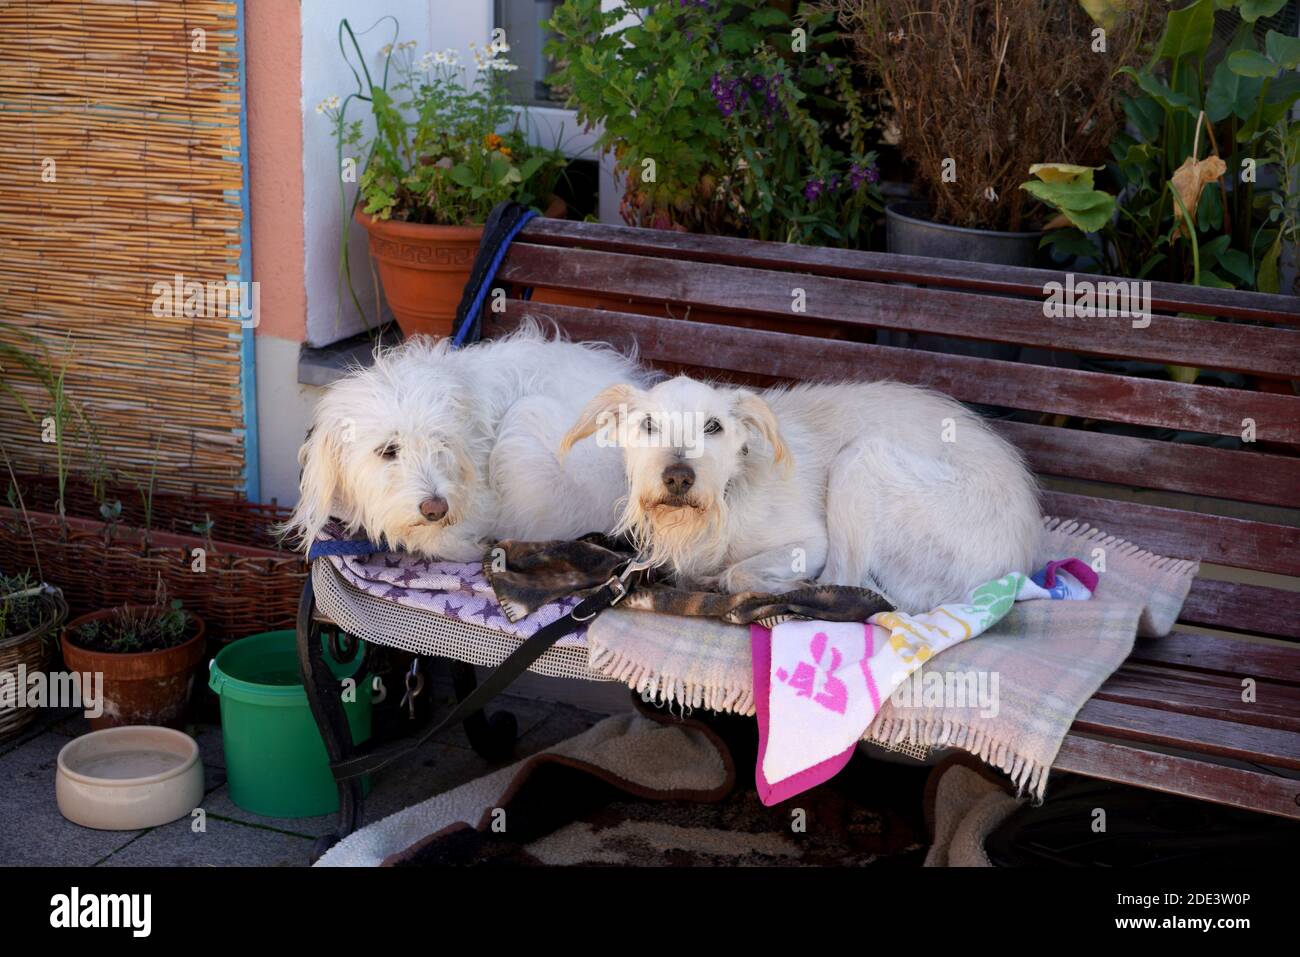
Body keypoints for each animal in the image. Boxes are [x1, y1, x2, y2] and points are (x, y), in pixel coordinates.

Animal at [287, 325, 647, 561]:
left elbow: (439, 540)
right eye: (388, 451)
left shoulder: (486, 505)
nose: (435, 508)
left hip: (526, 418)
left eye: (441, 443)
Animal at [556, 374, 1034, 613]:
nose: (677, 477)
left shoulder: (810, 543)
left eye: (713, 426)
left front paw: (744, 580)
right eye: (648, 425)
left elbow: (740, 572)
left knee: (847, 580)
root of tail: (1016, 562)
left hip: (860, 458)